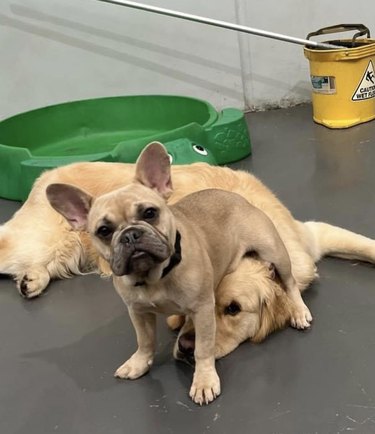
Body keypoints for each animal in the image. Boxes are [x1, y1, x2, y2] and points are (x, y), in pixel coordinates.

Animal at [0, 143, 375, 360]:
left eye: (233, 309)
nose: (187, 348)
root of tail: (46, 175)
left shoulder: (309, 236)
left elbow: (364, 244)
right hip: (37, 239)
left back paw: (31, 280)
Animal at [44, 142, 312, 404]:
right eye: (103, 231)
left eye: (149, 213)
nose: (130, 235)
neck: (155, 277)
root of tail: (236, 197)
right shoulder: (137, 312)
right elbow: (144, 341)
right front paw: (139, 363)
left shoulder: (202, 310)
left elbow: (203, 348)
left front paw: (204, 381)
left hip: (274, 252)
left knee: (290, 283)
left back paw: (299, 311)